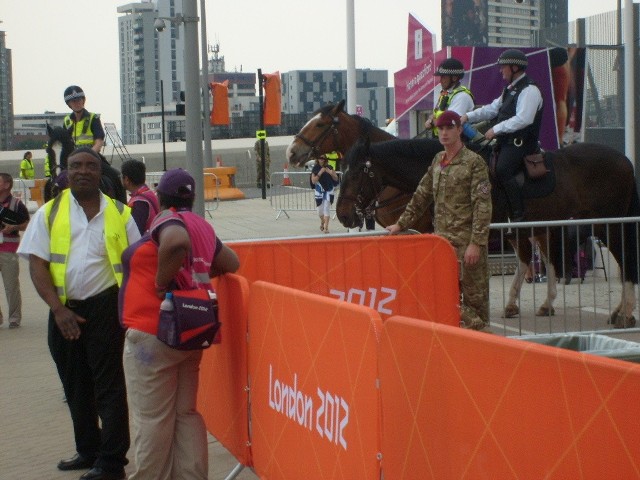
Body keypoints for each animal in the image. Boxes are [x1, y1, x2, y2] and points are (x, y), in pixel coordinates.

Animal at [338, 137, 636, 328]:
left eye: (356, 173)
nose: (342, 214)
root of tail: (625, 160)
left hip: (609, 224)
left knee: (624, 260)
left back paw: (625, 313)